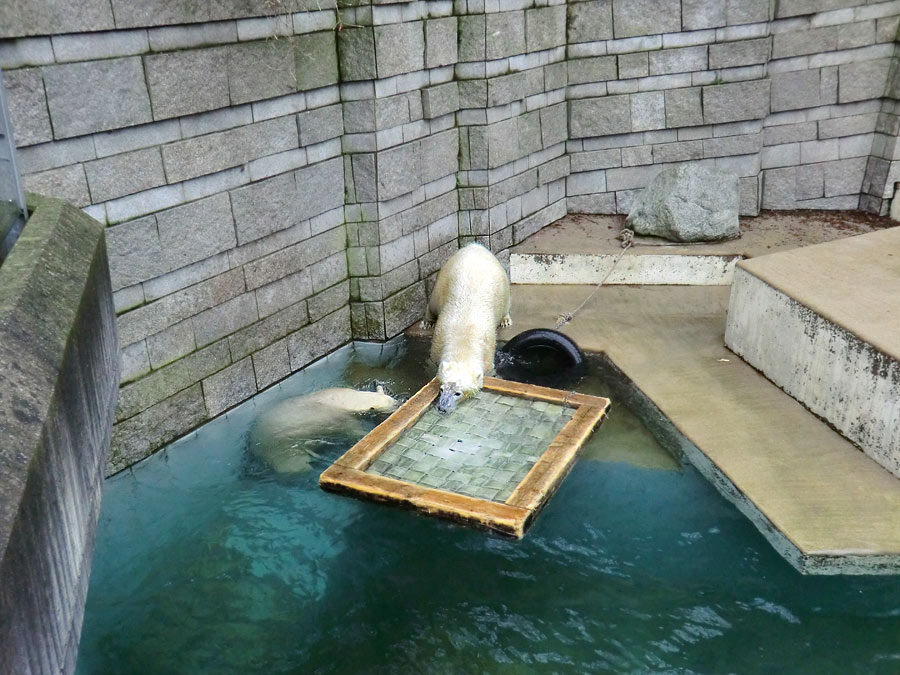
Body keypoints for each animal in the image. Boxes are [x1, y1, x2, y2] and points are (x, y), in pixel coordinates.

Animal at [248, 386, 400, 476]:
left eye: (394, 401)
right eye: (391, 406)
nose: (398, 406)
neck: (343, 400)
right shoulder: (338, 418)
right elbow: (351, 429)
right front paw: (363, 435)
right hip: (277, 446)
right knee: (292, 464)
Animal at [424, 243, 510, 412]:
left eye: (458, 393)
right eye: (442, 389)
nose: (442, 407)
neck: (464, 339)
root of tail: (475, 246)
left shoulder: (488, 351)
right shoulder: (438, 341)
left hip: (502, 283)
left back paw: (505, 320)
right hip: (444, 277)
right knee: (434, 301)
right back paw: (428, 322)